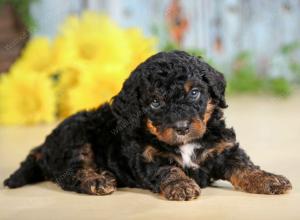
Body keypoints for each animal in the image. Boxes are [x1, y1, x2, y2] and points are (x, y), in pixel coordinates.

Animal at [4, 50, 290, 200]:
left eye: (194, 93)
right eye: (155, 102)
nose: (182, 127)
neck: (186, 144)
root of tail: (43, 145)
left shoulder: (223, 149)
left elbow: (245, 167)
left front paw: (270, 179)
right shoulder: (148, 157)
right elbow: (169, 170)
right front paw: (181, 185)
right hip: (77, 139)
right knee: (71, 173)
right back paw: (97, 180)